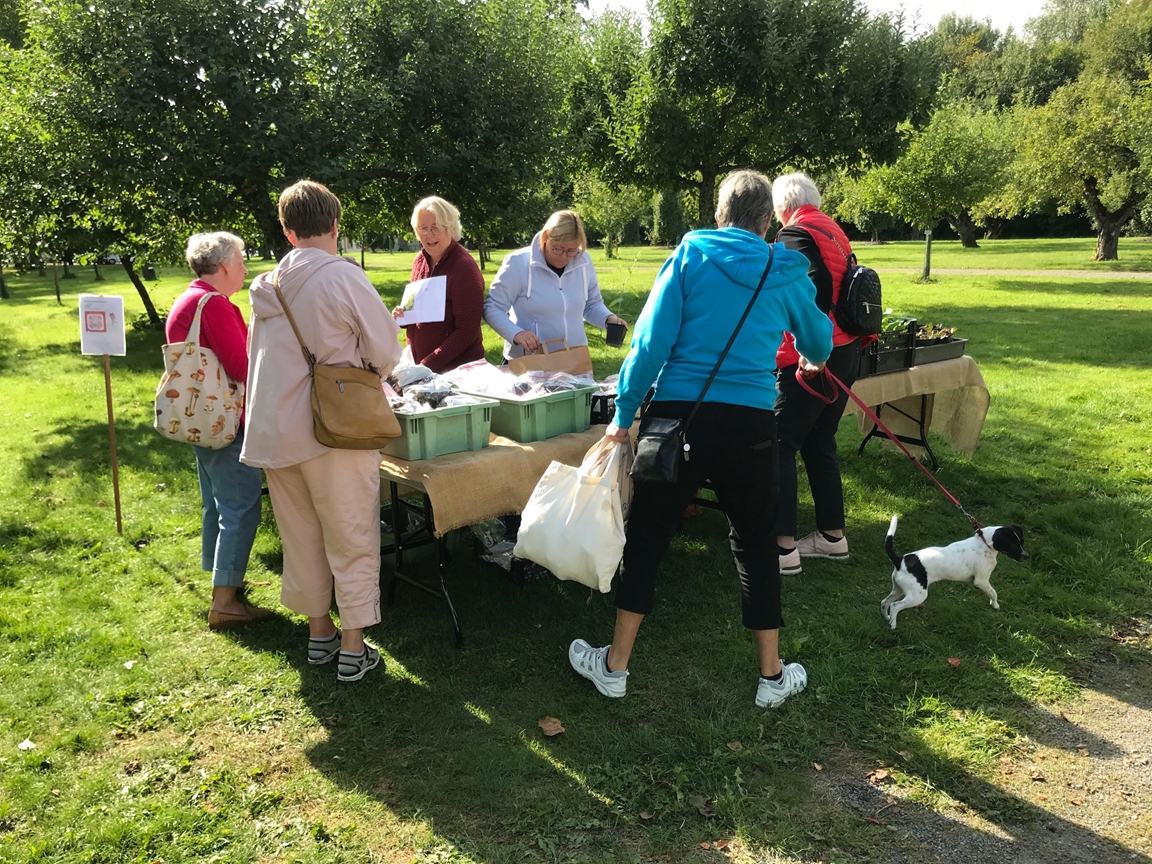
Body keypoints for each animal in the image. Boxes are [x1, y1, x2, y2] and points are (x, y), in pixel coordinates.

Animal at [875, 513, 1032, 631]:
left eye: (1022, 542)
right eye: (1012, 545)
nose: (1026, 556)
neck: (984, 542)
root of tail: (900, 560)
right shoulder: (981, 581)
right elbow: (993, 593)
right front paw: (995, 605)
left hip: (899, 589)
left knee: (885, 602)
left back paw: (886, 618)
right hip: (917, 595)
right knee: (895, 606)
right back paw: (893, 625)